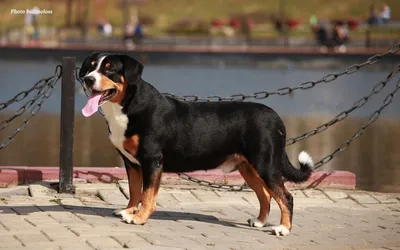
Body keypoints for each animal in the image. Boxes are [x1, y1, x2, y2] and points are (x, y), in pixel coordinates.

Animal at [78, 52, 314, 236]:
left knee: (286, 197)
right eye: (90, 67)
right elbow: (134, 190)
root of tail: (276, 117)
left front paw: (139, 217)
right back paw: (259, 221)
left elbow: (147, 194)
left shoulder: (152, 160)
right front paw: (128, 210)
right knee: (265, 194)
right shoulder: (132, 162)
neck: (128, 106)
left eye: (109, 69)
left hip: (265, 164)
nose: (88, 80)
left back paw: (283, 229)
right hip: (249, 168)